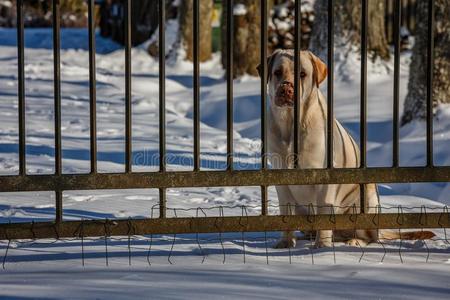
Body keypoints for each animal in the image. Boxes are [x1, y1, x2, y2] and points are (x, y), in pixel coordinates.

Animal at [258, 49, 434, 248]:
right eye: (277, 72)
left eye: (302, 74)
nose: (286, 89)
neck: (290, 124)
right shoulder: (281, 177)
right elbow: (286, 215)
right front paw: (286, 243)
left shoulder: (325, 178)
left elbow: (324, 215)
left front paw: (322, 246)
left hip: (366, 200)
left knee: (369, 236)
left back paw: (354, 241)